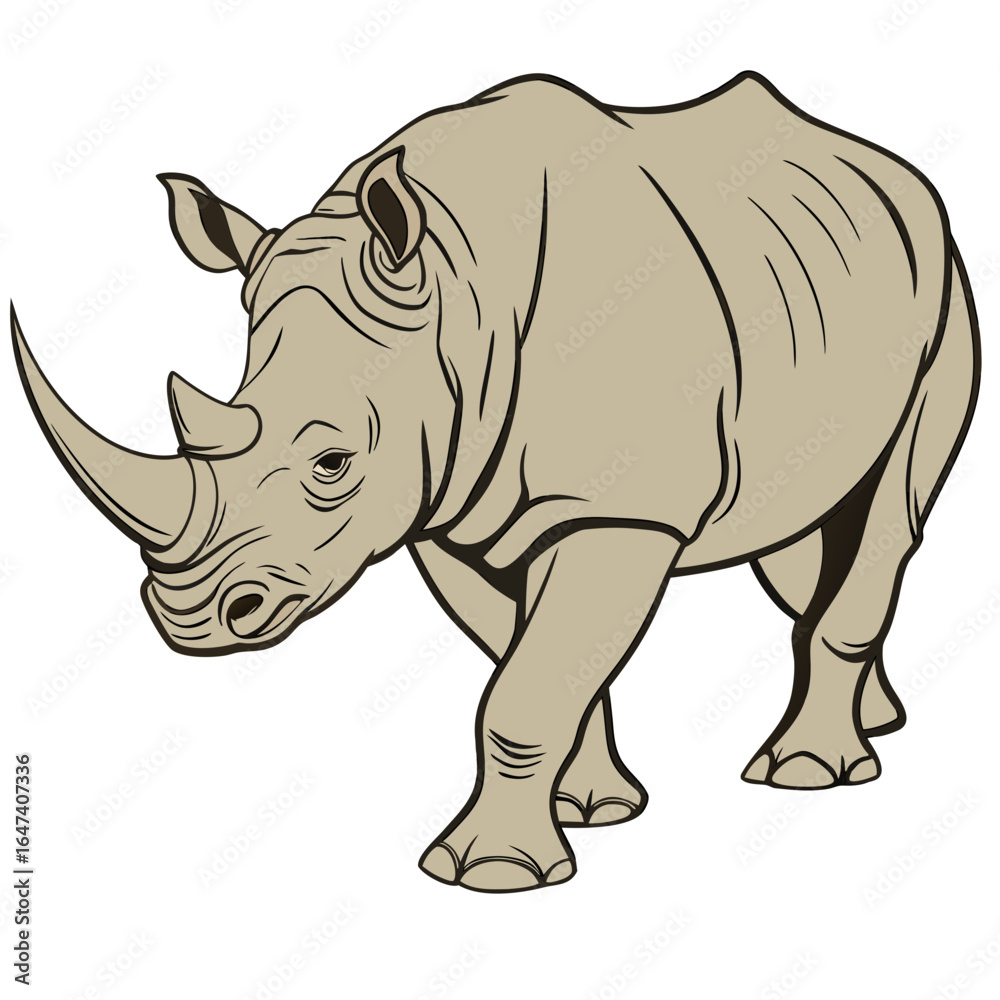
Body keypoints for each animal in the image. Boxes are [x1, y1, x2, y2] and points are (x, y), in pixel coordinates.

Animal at [13, 71, 980, 892]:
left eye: (332, 465)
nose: (191, 621)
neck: (458, 295)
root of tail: (891, 168)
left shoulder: (620, 511)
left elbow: (524, 688)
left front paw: (491, 875)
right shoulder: (446, 505)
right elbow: (539, 664)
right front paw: (592, 811)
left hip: (947, 286)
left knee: (889, 515)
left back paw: (808, 774)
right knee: (801, 539)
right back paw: (875, 724)